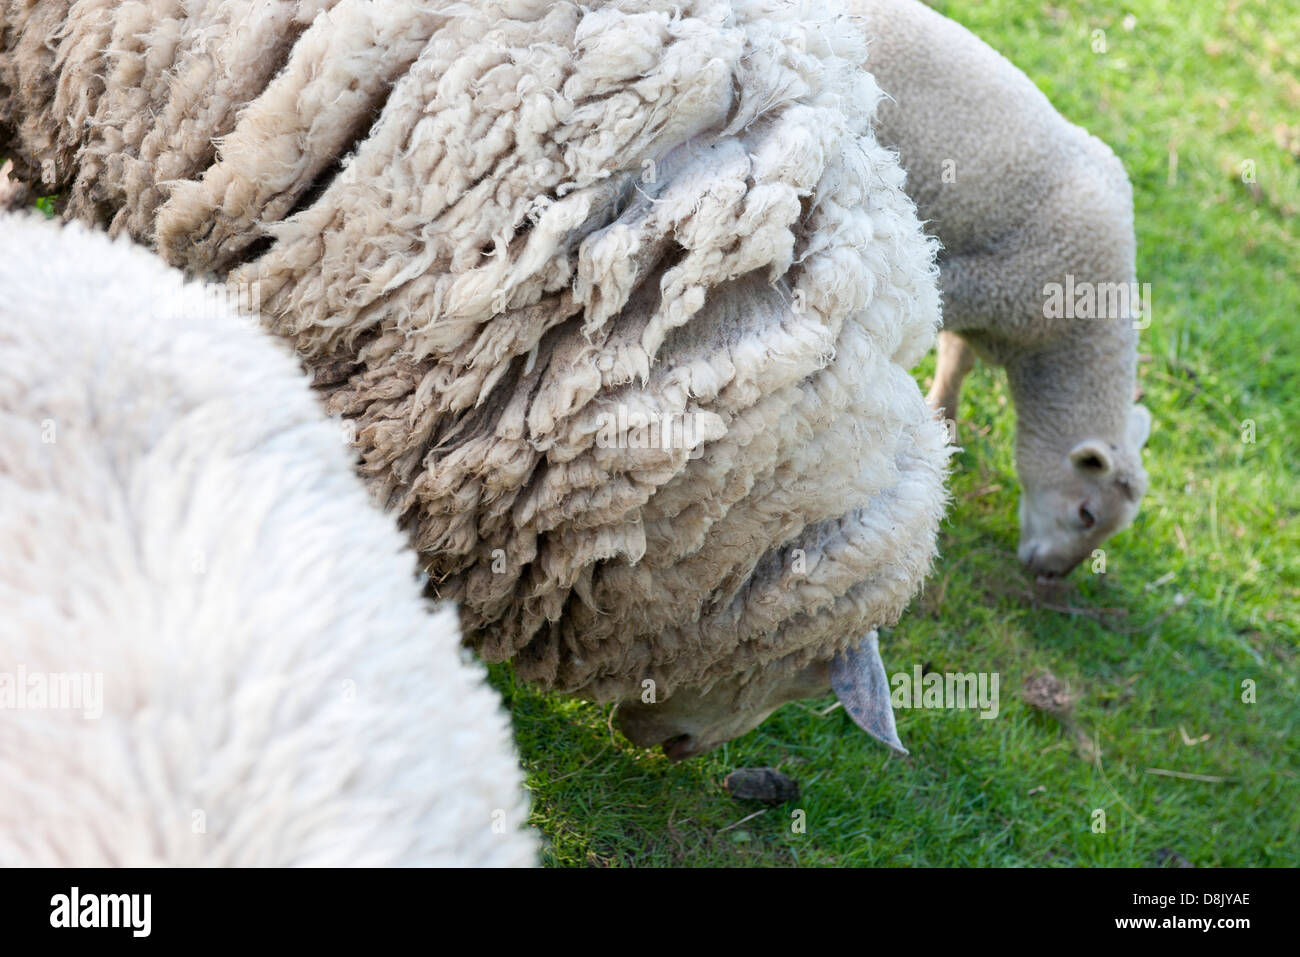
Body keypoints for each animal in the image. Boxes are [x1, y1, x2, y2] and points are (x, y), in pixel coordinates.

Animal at [846, 0, 1152, 579]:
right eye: (1086, 514)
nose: (1049, 575)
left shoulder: (989, 310)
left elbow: (956, 359)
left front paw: (944, 419)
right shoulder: (980, 280)